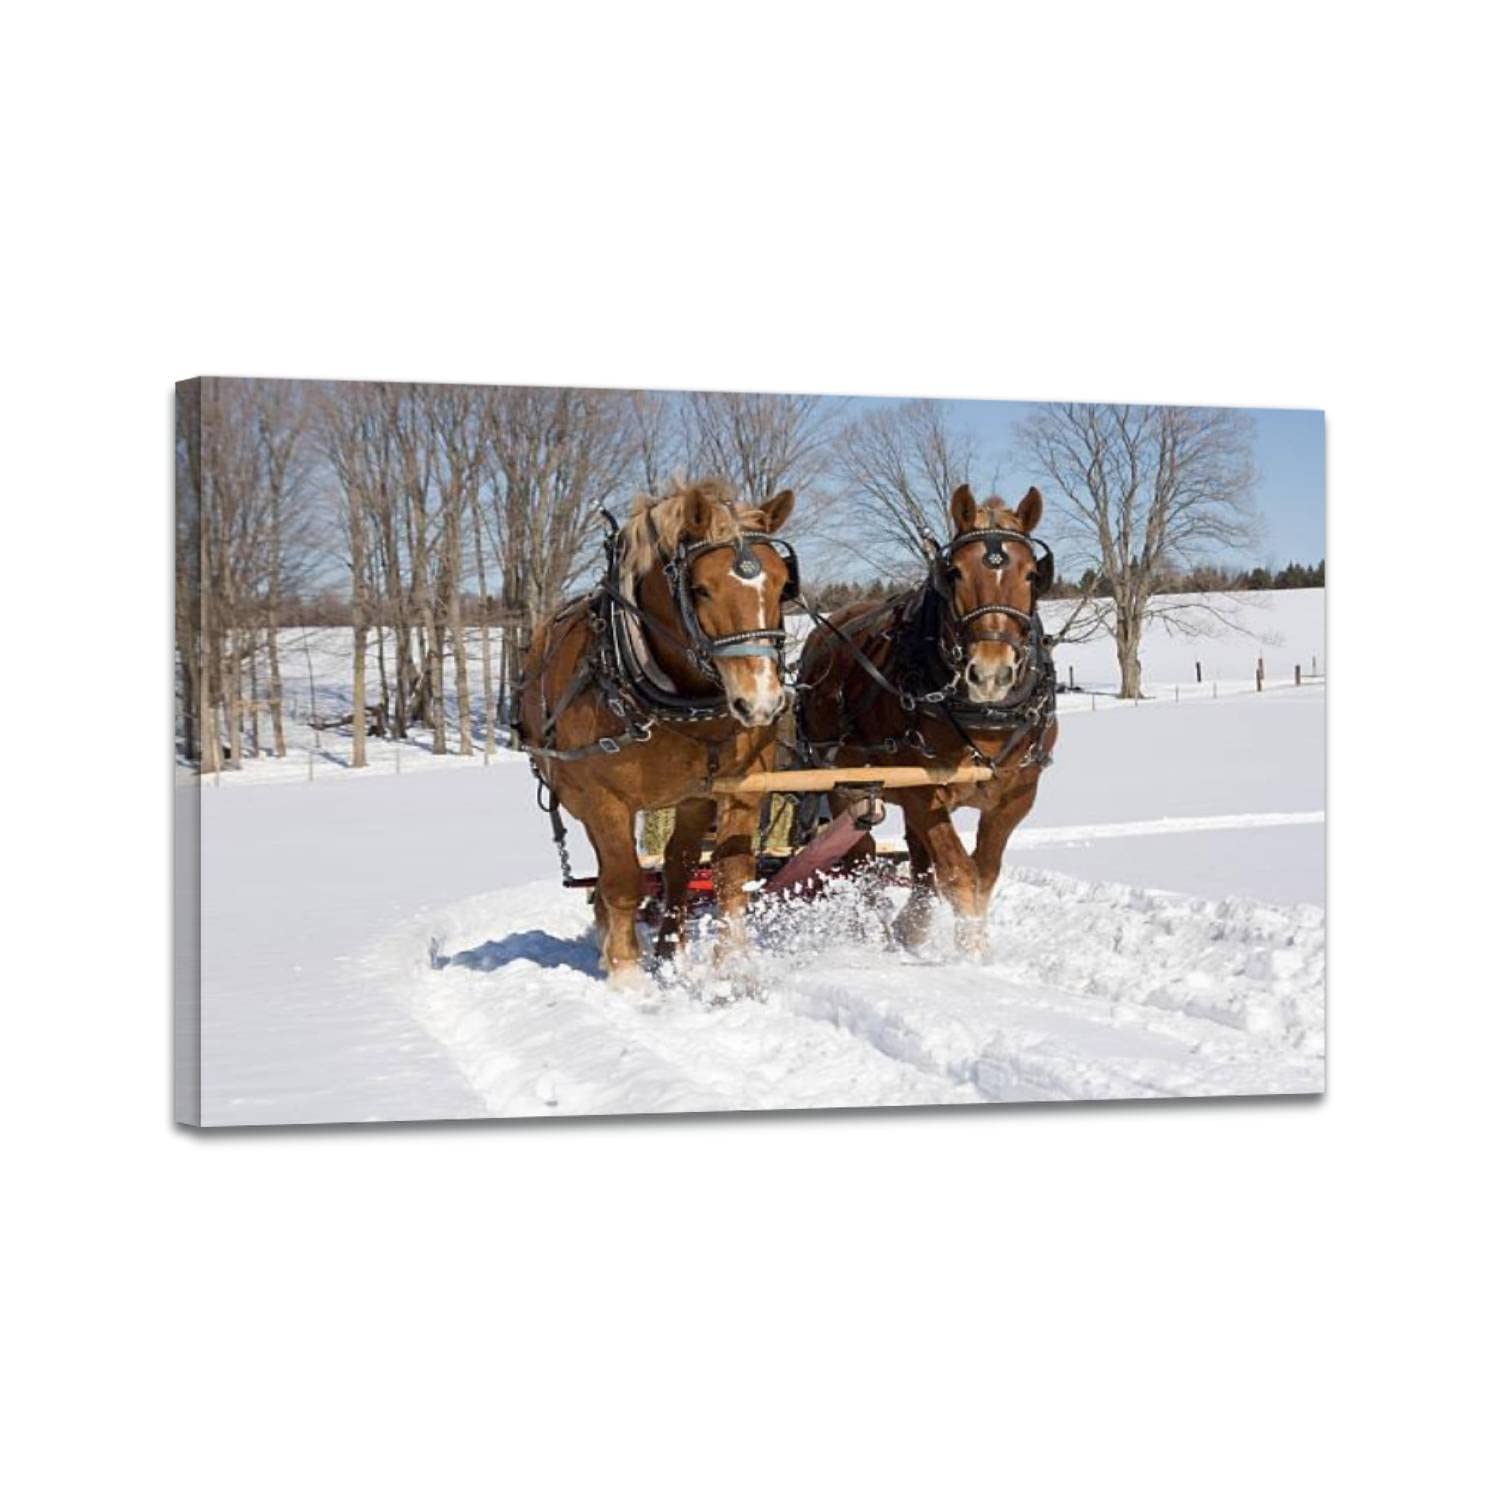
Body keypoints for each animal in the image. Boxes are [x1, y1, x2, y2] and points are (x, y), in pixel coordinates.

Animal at [516, 479, 798, 985]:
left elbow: (730, 874)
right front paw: (627, 975)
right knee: (610, 871)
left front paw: (731, 967)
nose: (761, 703)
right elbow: (622, 881)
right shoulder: (605, 799)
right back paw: (610, 942)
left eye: (784, 584)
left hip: (691, 800)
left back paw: (669, 950)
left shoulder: (741, 787)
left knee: (677, 867)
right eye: (701, 589)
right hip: (580, 797)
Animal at [796, 484, 1058, 958]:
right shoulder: (920, 787)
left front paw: (968, 942)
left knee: (917, 863)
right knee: (860, 856)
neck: (985, 716)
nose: (990, 674)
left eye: (1032, 574)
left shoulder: (1017, 795)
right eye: (954, 573)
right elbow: (958, 873)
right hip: (844, 781)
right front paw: (971, 954)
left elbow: (982, 874)